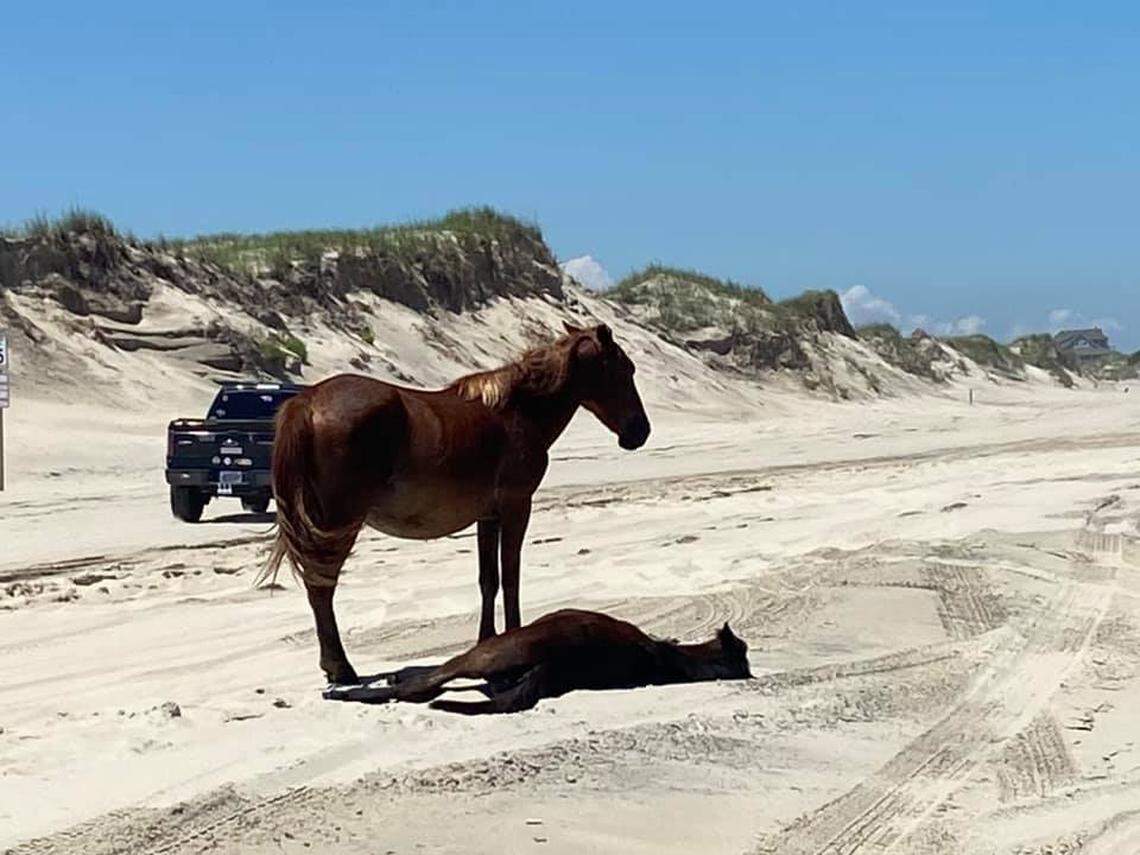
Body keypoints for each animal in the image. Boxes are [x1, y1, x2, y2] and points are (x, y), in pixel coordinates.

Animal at [263, 323, 651, 685]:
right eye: (625, 369)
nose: (640, 432)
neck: (518, 412)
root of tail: (307, 402)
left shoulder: (488, 517)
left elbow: (489, 580)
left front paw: (487, 641)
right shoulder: (516, 507)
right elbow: (511, 576)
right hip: (337, 523)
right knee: (321, 587)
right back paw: (341, 668)